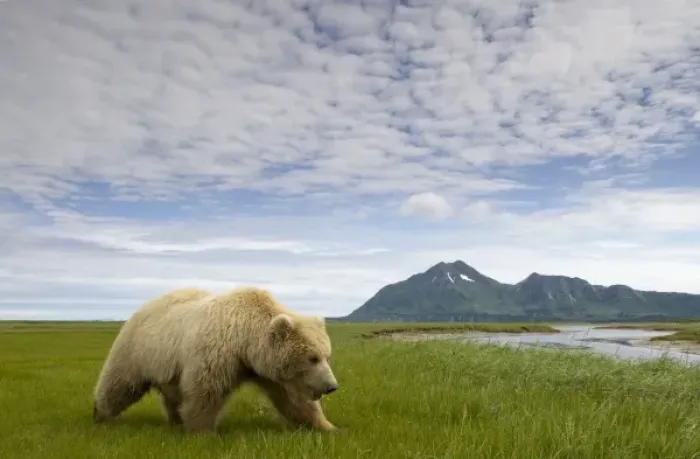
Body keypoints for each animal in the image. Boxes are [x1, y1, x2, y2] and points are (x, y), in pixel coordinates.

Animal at [92, 286, 340, 433]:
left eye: (327, 355)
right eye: (312, 358)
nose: (331, 386)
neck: (246, 341)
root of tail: (146, 305)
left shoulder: (267, 369)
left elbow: (293, 398)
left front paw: (327, 426)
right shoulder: (218, 353)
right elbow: (206, 392)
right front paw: (202, 432)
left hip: (169, 366)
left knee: (172, 396)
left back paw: (175, 420)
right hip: (136, 350)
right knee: (119, 384)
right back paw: (100, 414)